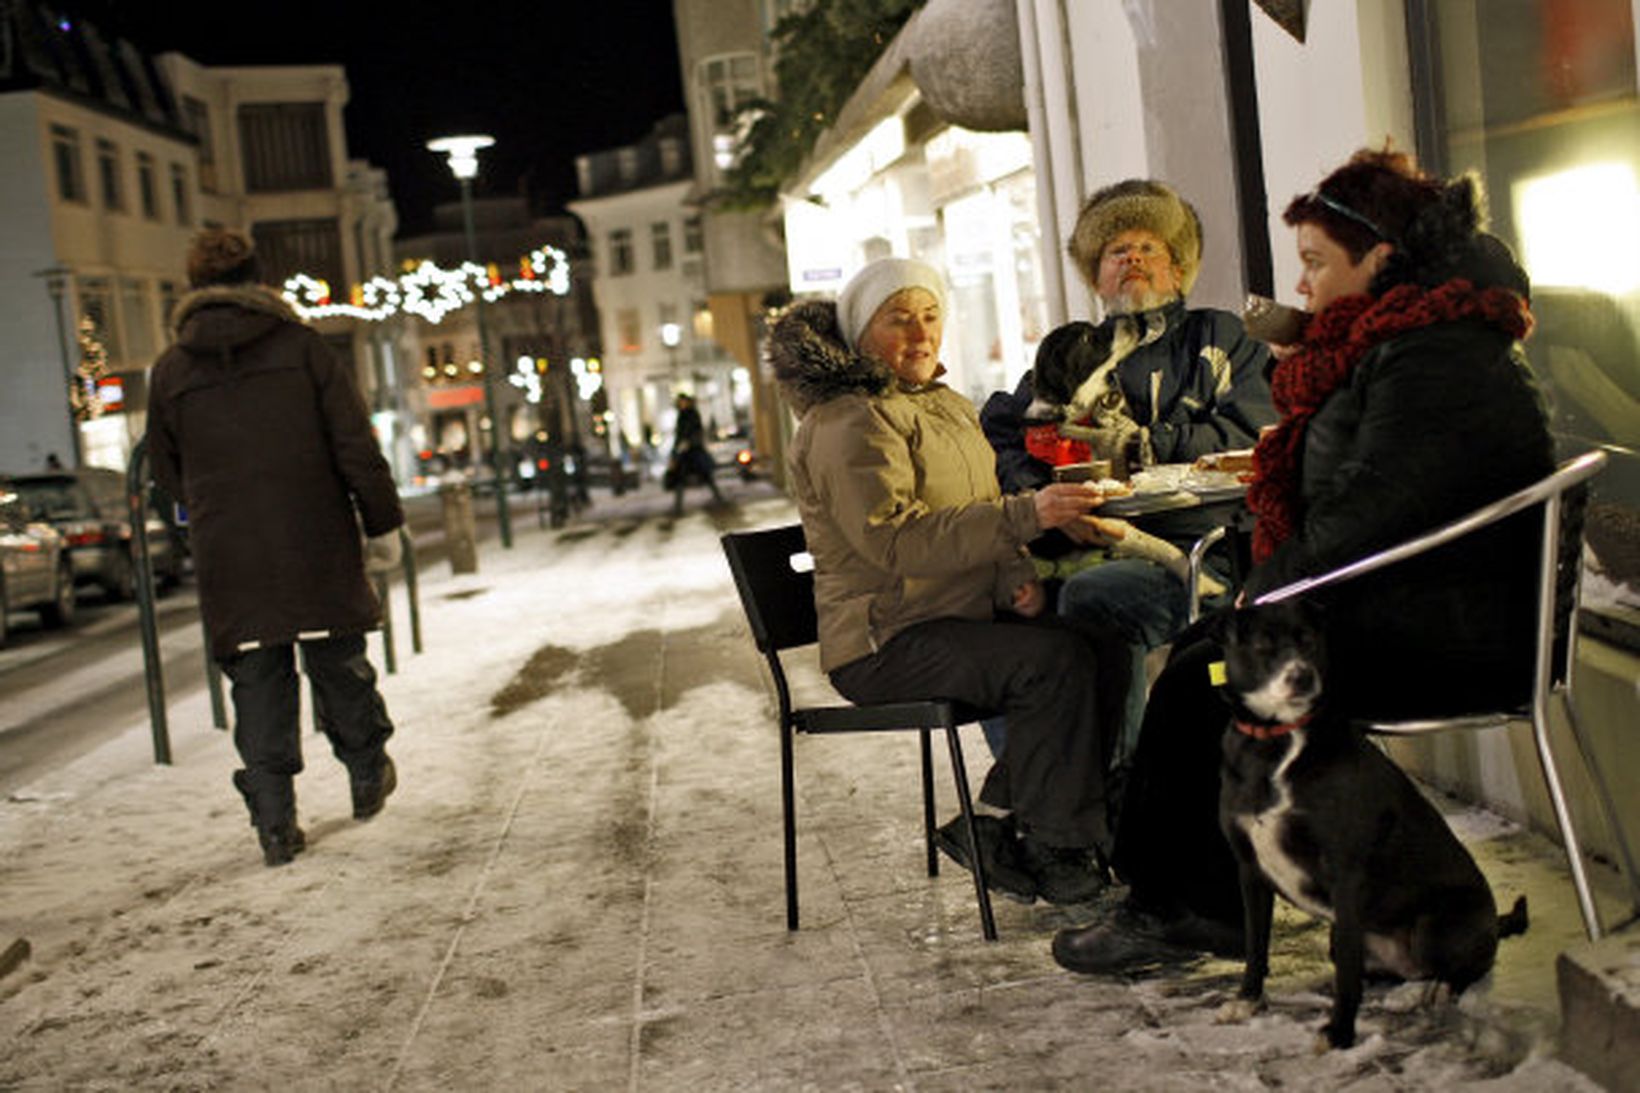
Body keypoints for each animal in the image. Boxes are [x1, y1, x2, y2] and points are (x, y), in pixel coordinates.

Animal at [1213, 600, 1528, 1050]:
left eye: (1308, 640)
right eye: (1263, 645)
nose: (1302, 675)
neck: (1277, 742)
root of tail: (1493, 923)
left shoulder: (1346, 874)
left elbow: (1347, 971)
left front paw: (1340, 1033)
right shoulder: (1250, 871)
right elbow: (1256, 946)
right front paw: (1248, 1001)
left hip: (1435, 926)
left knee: (1461, 971)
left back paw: (1431, 991)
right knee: (1395, 973)